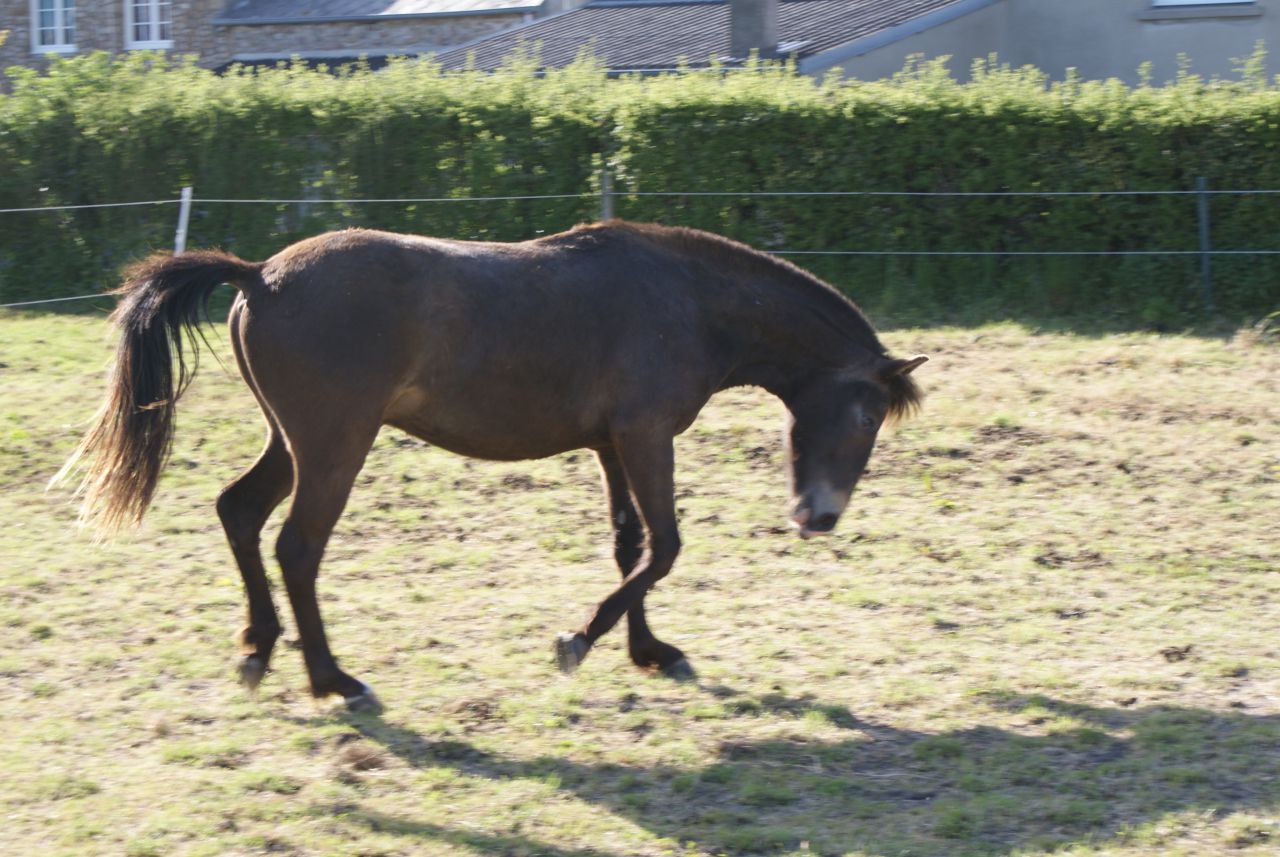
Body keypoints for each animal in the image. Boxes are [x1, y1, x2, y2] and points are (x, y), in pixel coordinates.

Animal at [56, 220, 926, 711]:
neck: (685, 299)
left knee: (239, 511)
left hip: (291, 442)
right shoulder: (647, 435)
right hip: (335, 446)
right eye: (867, 413)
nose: (820, 517)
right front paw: (579, 640)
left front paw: (648, 650)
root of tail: (259, 275)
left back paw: (257, 649)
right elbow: (667, 545)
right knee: (296, 547)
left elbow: (631, 546)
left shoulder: (612, 442)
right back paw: (335, 680)